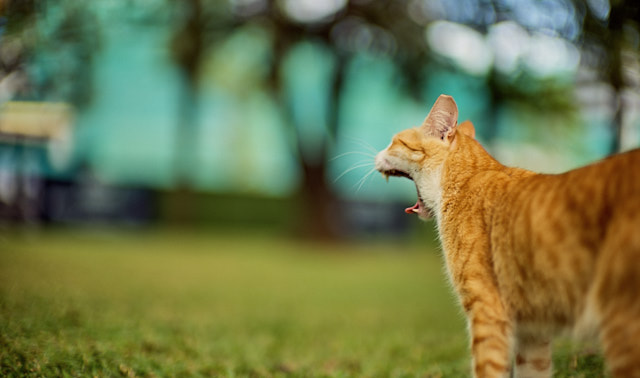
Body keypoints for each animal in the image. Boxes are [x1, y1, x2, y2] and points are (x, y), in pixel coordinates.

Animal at [376, 94, 640, 376]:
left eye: (394, 142)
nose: (377, 155)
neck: (463, 180)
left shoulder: (487, 309)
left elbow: (488, 368)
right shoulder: (533, 329)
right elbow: (532, 369)